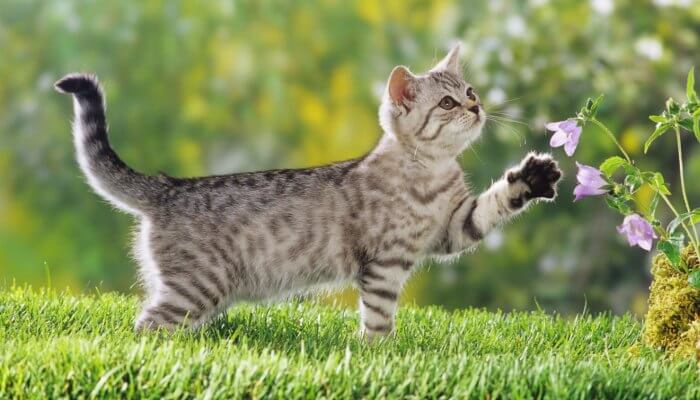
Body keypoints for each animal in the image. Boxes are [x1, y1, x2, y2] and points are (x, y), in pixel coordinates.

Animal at [54, 44, 560, 338]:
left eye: (471, 91)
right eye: (448, 102)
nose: (476, 107)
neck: (430, 174)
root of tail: (167, 187)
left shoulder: (453, 227)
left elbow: (494, 204)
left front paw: (532, 177)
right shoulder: (384, 262)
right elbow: (379, 318)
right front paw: (379, 352)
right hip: (197, 286)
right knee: (145, 328)